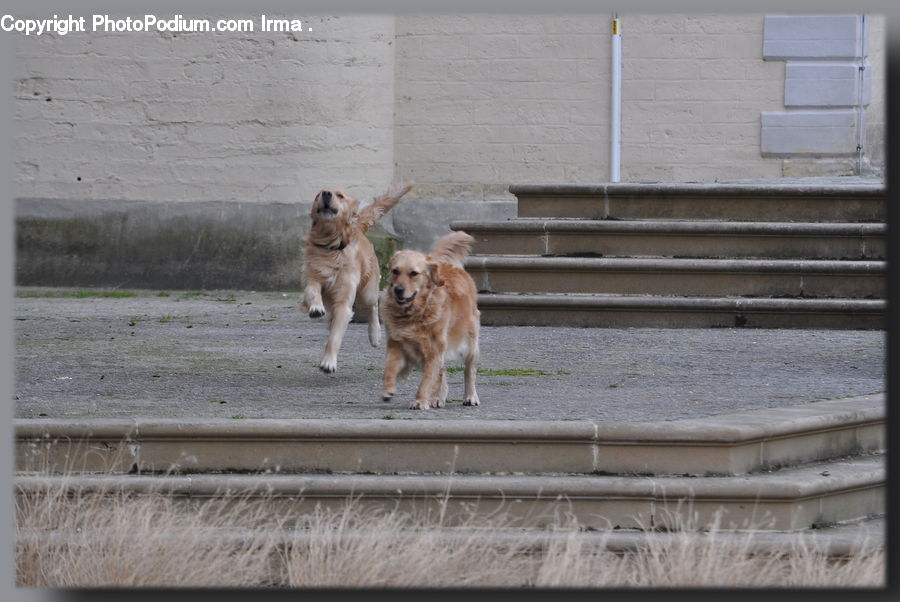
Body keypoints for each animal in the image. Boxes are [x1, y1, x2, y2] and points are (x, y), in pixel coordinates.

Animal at [302, 180, 414, 372]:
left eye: (340, 195)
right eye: (319, 194)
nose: (326, 194)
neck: (331, 246)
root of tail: (359, 228)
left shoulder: (344, 302)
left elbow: (335, 336)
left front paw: (328, 362)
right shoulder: (313, 275)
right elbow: (312, 289)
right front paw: (316, 307)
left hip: (367, 291)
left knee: (374, 305)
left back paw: (375, 335)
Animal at [378, 230, 478, 408]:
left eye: (413, 273)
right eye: (395, 271)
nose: (398, 290)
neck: (415, 313)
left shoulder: (433, 351)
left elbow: (427, 380)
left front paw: (420, 400)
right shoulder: (396, 344)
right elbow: (390, 367)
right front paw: (388, 389)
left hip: (470, 343)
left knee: (469, 371)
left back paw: (470, 396)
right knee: (442, 372)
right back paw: (438, 398)